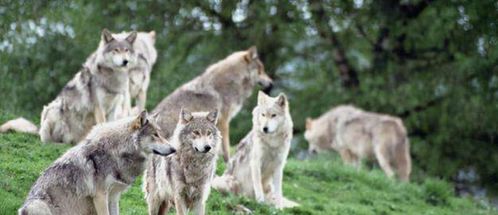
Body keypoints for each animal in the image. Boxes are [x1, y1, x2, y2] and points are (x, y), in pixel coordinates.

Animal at [17, 111, 176, 215]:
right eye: (155, 135)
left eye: (160, 134)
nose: (174, 149)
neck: (117, 153)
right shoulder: (100, 196)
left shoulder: (114, 196)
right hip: (38, 205)